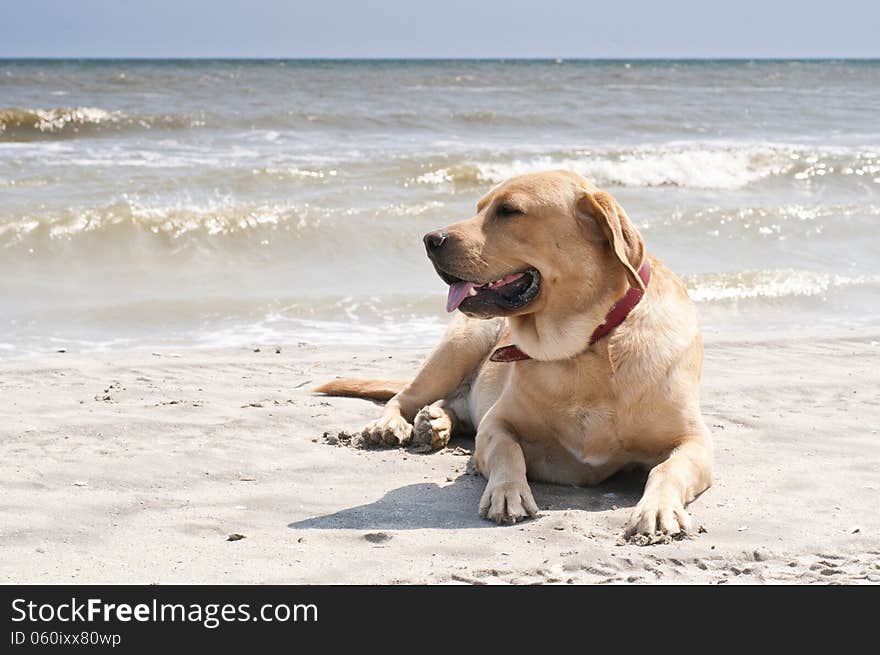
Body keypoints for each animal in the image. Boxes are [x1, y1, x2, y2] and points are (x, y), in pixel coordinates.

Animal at [312, 169, 712, 540]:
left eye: (509, 211)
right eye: (478, 208)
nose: (429, 240)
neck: (587, 347)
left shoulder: (695, 443)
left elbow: (665, 469)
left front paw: (657, 509)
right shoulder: (497, 422)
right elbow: (508, 450)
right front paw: (508, 492)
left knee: (452, 406)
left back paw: (436, 423)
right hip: (460, 347)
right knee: (406, 397)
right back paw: (393, 425)